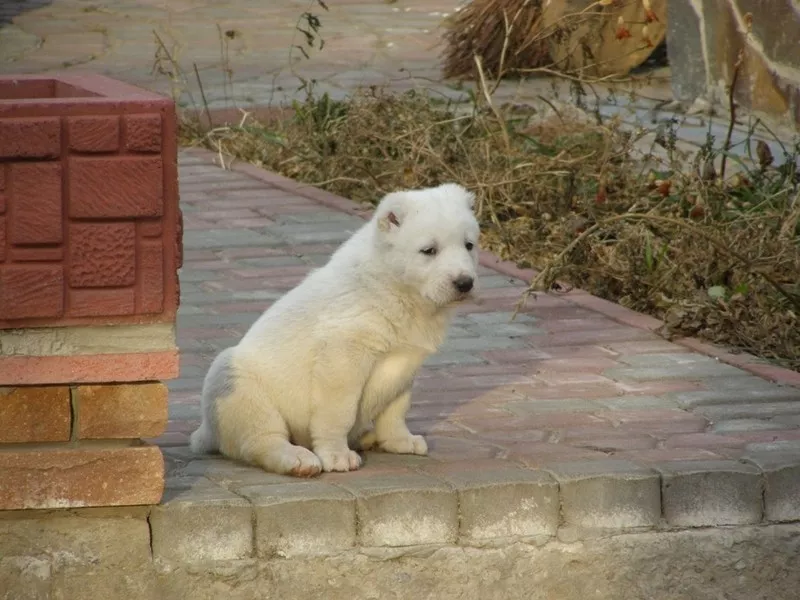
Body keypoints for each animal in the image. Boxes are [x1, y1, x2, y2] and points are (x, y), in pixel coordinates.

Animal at [191, 182, 478, 474]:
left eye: (469, 245)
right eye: (429, 250)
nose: (464, 283)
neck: (395, 289)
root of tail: (205, 432)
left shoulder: (406, 359)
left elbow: (396, 404)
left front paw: (401, 440)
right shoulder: (344, 348)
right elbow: (339, 407)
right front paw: (337, 456)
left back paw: (367, 437)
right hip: (238, 382)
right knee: (259, 432)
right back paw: (299, 459)